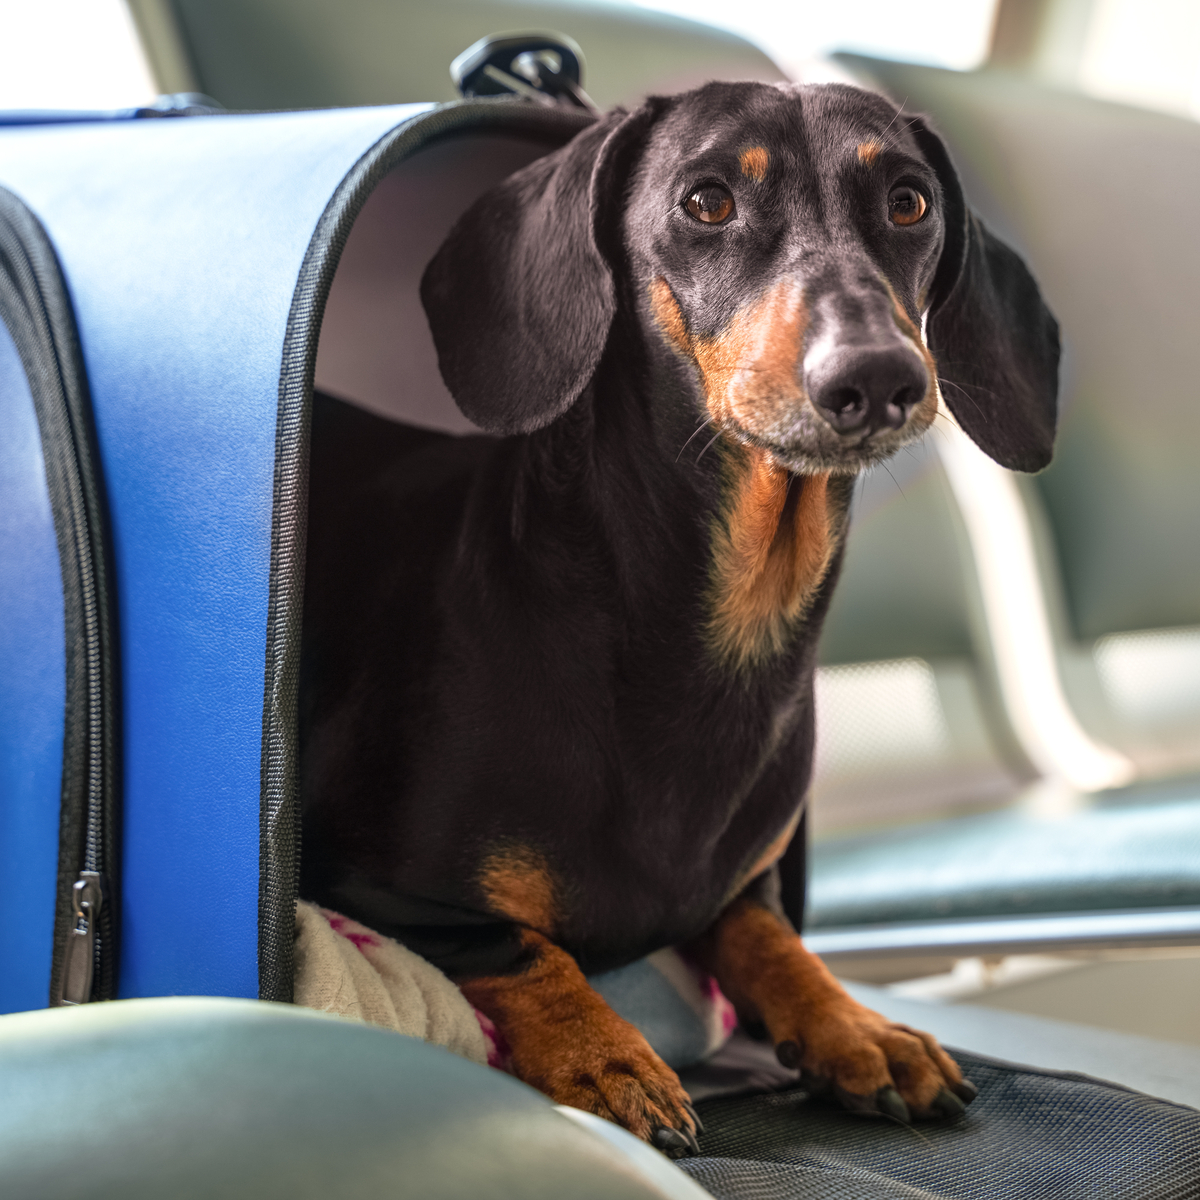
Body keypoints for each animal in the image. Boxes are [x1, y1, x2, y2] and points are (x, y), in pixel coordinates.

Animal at [302, 82, 1060, 1152]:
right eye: (706, 202)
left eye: (910, 202)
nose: (878, 378)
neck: (712, 636)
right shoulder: (361, 878)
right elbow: (518, 944)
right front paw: (605, 1054)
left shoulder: (742, 888)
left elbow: (763, 933)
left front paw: (856, 1027)